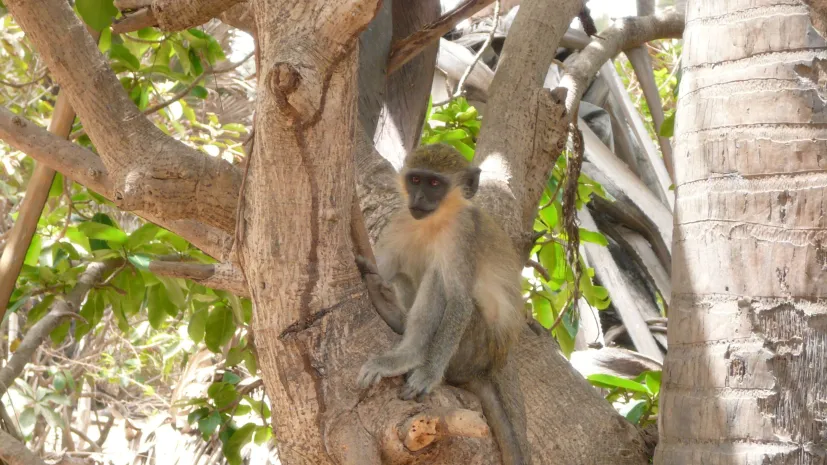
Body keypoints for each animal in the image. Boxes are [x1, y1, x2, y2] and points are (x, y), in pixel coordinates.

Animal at [356, 143, 532, 462]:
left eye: (435, 184)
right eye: (416, 180)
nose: (419, 198)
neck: (435, 222)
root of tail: (481, 370)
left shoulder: (462, 234)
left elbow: (459, 301)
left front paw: (427, 373)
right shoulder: (401, 221)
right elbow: (384, 266)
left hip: (473, 347)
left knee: (439, 279)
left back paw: (409, 353)